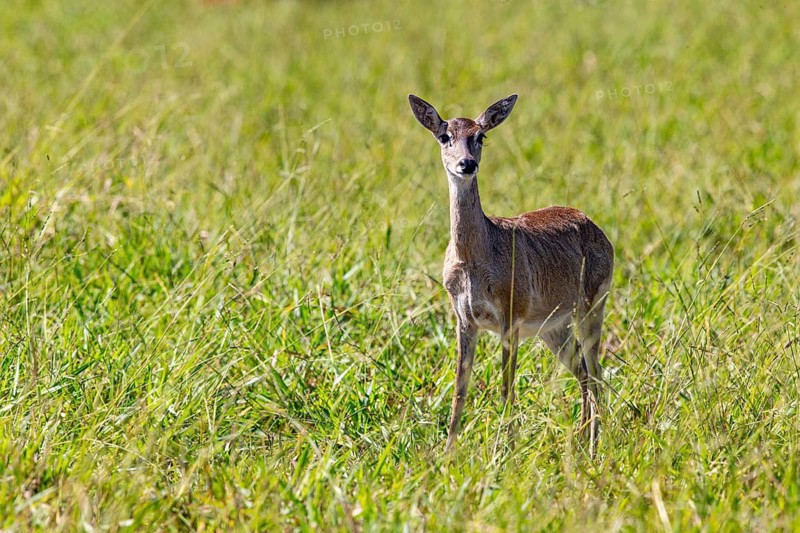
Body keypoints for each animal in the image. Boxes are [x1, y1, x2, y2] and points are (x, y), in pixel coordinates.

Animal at [408, 93, 614, 456]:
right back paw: (578, 443)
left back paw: (592, 449)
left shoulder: (510, 320)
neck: (474, 259)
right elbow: (460, 389)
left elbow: (506, 386)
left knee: (596, 372)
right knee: (583, 374)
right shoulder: (465, 320)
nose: (466, 164)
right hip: (554, 328)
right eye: (445, 136)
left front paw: (504, 452)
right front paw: (447, 454)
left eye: (480, 136)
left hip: (591, 308)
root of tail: (598, 229)